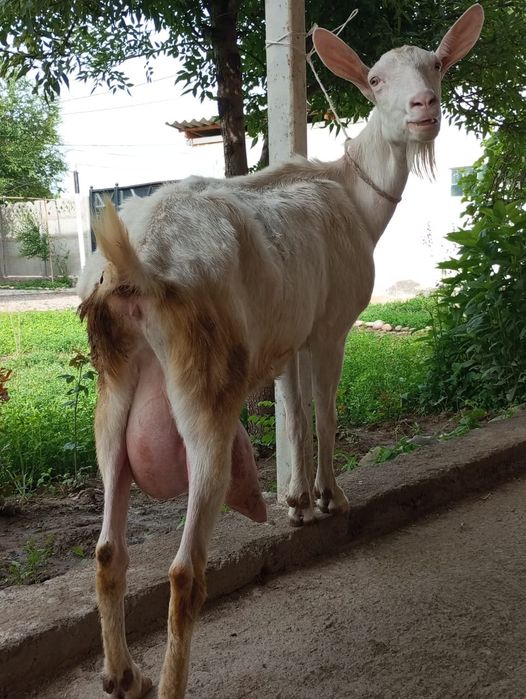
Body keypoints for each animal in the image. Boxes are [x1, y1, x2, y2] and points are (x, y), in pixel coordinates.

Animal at [78, 5, 484, 697]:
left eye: (437, 64)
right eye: (375, 80)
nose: (423, 107)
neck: (351, 193)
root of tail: (138, 266)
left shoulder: (290, 332)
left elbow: (292, 408)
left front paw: (293, 502)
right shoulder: (331, 325)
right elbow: (324, 407)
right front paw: (329, 499)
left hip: (114, 395)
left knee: (108, 550)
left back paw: (122, 674)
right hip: (205, 393)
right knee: (184, 571)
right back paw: (166, 680)